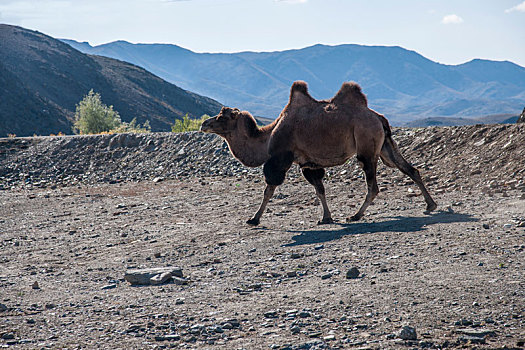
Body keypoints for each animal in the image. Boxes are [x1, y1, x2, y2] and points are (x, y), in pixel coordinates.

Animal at [199, 80, 436, 226]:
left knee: (373, 184)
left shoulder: (280, 158)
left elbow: (269, 189)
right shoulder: (308, 163)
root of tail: (379, 118)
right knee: (408, 168)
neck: (268, 137)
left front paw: (254, 219)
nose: (204, 124)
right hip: (385, 145)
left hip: (367, 145)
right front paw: (326, 218)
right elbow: (320, 190)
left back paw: (355, 215)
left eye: (222, 116)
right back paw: (430, 205)